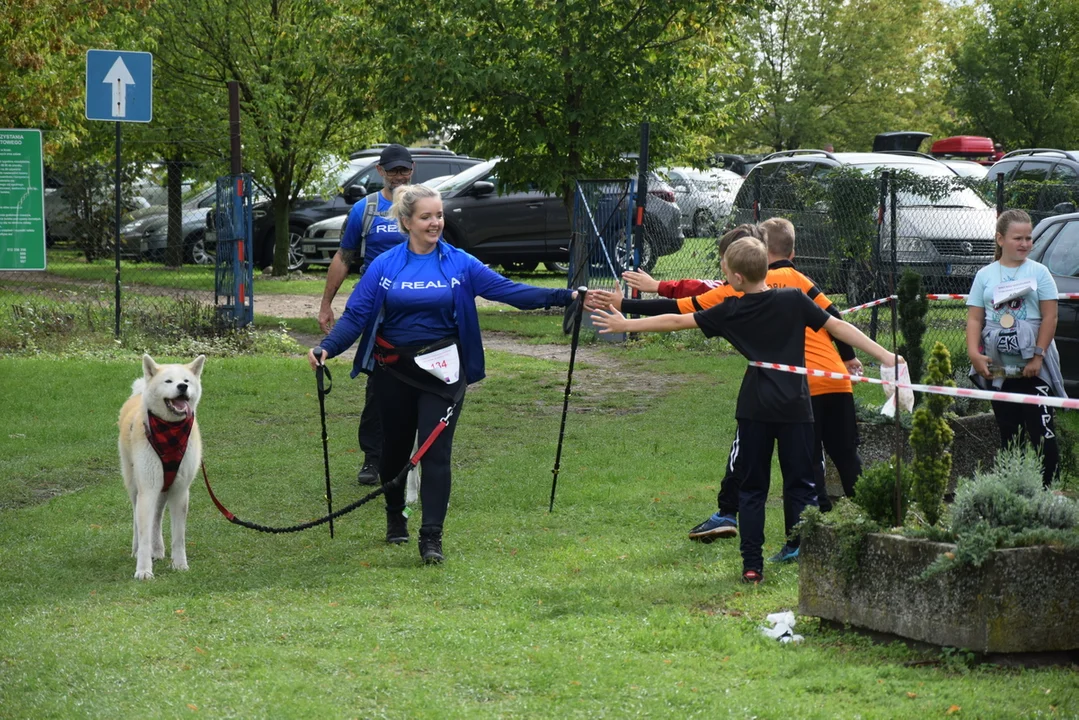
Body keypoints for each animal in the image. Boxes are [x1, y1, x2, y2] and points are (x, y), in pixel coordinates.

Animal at [118, 354, 203, 578]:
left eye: (186, 380)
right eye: (168, 381)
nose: (182, 386)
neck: (170, 431)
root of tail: (139, 394)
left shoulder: (180, 491)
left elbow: (179, 536)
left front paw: (180, 565)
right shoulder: (147, 489)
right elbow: (144, 533)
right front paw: (143, 570)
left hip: (163, 488)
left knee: (156, 518)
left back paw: (157, 550)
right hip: (136, 485)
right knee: (137, 519)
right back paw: (137, 550)